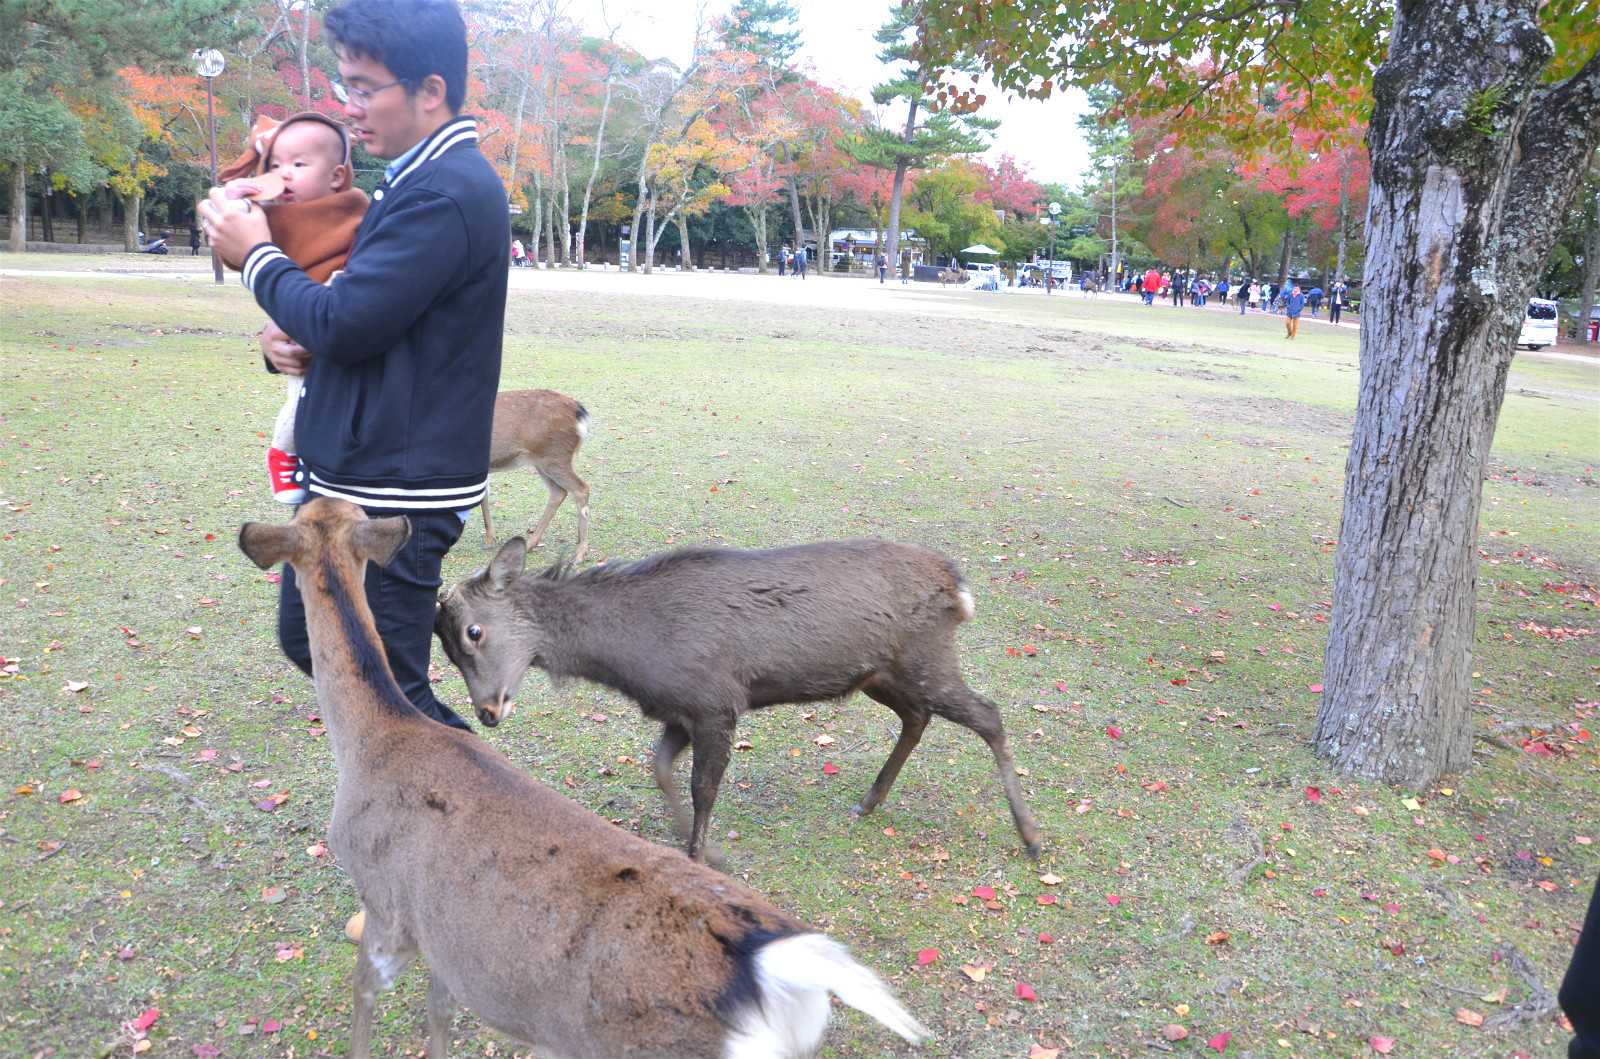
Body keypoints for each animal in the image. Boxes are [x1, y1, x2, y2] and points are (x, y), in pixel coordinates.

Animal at [235, 502, 928, 1059]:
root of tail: (781, 973)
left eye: (474, 633)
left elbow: (365, 1010)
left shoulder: (387, 910)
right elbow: (439, 1013)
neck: (375, 738)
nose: (488, 713)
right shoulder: (447, 943)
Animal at [432, 534, 1043, 870]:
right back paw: (869, 802)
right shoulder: (679, 711)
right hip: (883, 673)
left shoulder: (715, 702)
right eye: (447, 644)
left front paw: (700, 856)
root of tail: (959, 589)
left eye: (474, 633)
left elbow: (704, 788)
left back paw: (1031, 835)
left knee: (988, 714)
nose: (487, 712)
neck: (633, 657)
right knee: (919, 717)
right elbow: (659, 768)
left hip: (926, 658)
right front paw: (708, 851)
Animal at [483, 391, 598, 563]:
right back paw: (530, 544)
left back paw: (579, 554)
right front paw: (490, 539)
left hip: (554, 456)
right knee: (558, 493)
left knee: (581, 489)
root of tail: (581, 412)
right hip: (543, 461)